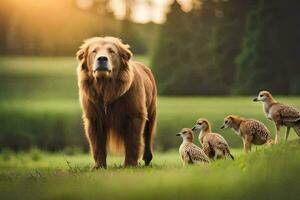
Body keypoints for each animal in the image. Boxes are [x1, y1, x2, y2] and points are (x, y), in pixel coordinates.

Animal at [75, 36, 157, 169]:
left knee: (148, 132)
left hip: (152, 107)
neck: (106, 89)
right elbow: (97, 142)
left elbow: (133, 139)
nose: (102, 59)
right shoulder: (93, 114)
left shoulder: (134, 112)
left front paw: (130, 164)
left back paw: (147, 158)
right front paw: (98, 166)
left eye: (111, 51)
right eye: (94, 51)